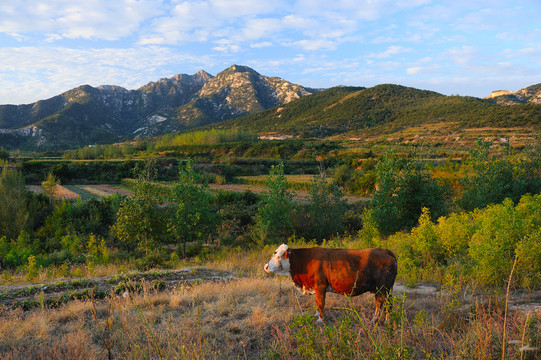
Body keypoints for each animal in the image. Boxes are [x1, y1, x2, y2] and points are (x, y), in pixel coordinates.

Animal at [264, 243, 396, 322]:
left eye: (278, 256)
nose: (266, 267)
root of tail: (384, 250)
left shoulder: (320, 287)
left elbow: (320, 303)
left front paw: (320, 319)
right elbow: (317, 303)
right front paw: (317, 315)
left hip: (385, 288)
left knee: (388, 305)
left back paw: (388, 321)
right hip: (379, 289)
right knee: (379, 302)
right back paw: (374, 320)